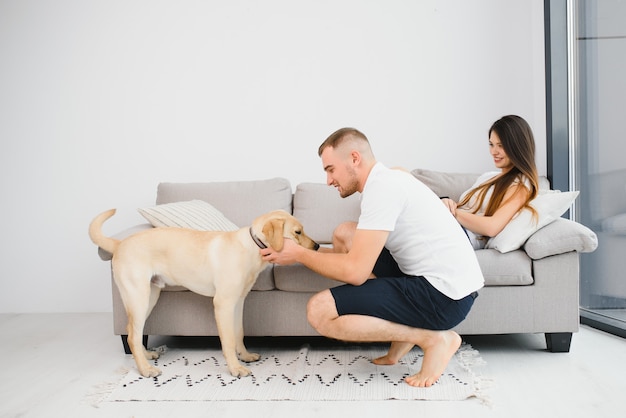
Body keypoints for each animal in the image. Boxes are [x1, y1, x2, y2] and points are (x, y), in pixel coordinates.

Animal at [88, 209, 316, 378]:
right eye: (298, 232)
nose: (316, 246)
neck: (251, 246)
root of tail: (121, 243)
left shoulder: (238, 302)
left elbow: (239, 332)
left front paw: (244, 355)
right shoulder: (223, 304)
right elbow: (228, 339)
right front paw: (235, 368)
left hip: (150, 297)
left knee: (133, 332)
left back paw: (145, 356)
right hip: (139, 297)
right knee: (133, 336)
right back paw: (145, 370)